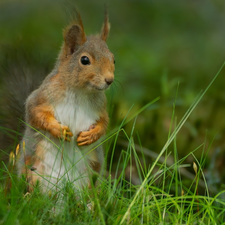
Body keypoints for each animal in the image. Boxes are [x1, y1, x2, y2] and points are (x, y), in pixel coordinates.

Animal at [3, 11, 115, 192]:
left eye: (113, 59)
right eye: (85, 60)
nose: (109, 80)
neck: (79, 92)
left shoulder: (101, 107)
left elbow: (104, 122)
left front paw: (91, 135)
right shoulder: (42, 96)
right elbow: (34, 112)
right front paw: (59, 130)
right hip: (33, 170)